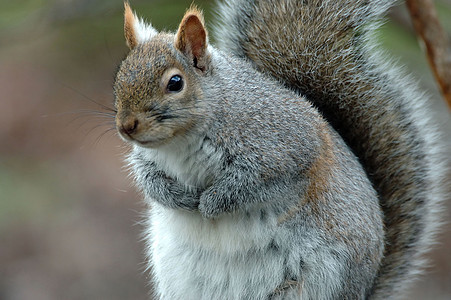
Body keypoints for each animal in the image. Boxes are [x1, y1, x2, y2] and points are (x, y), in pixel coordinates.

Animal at [112, 1, 444, 298]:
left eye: (175, 83)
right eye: (119, 77)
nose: (126, 126)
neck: (179, 145)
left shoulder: (283, 148)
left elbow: (252, 184)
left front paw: (212, 202)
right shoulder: (149, 158)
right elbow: (148, 179)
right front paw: (177, 197)